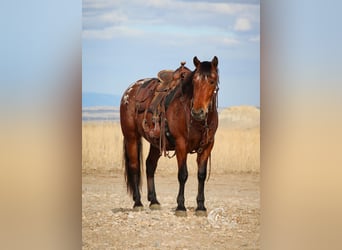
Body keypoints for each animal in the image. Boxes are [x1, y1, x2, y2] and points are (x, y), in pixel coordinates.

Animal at [119, 55, 219, 216]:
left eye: (212, 81)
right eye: (194, 82)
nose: (198, 112)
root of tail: (129, 91)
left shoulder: (208, 146)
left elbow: (201, 175)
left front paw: (201, 207)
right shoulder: (181, 144)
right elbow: (183, 174)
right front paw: (181, 207)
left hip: (155, 143)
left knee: (150, 165)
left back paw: (154, 201)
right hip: (131, 138)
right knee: (134, 166)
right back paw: (138, 203)